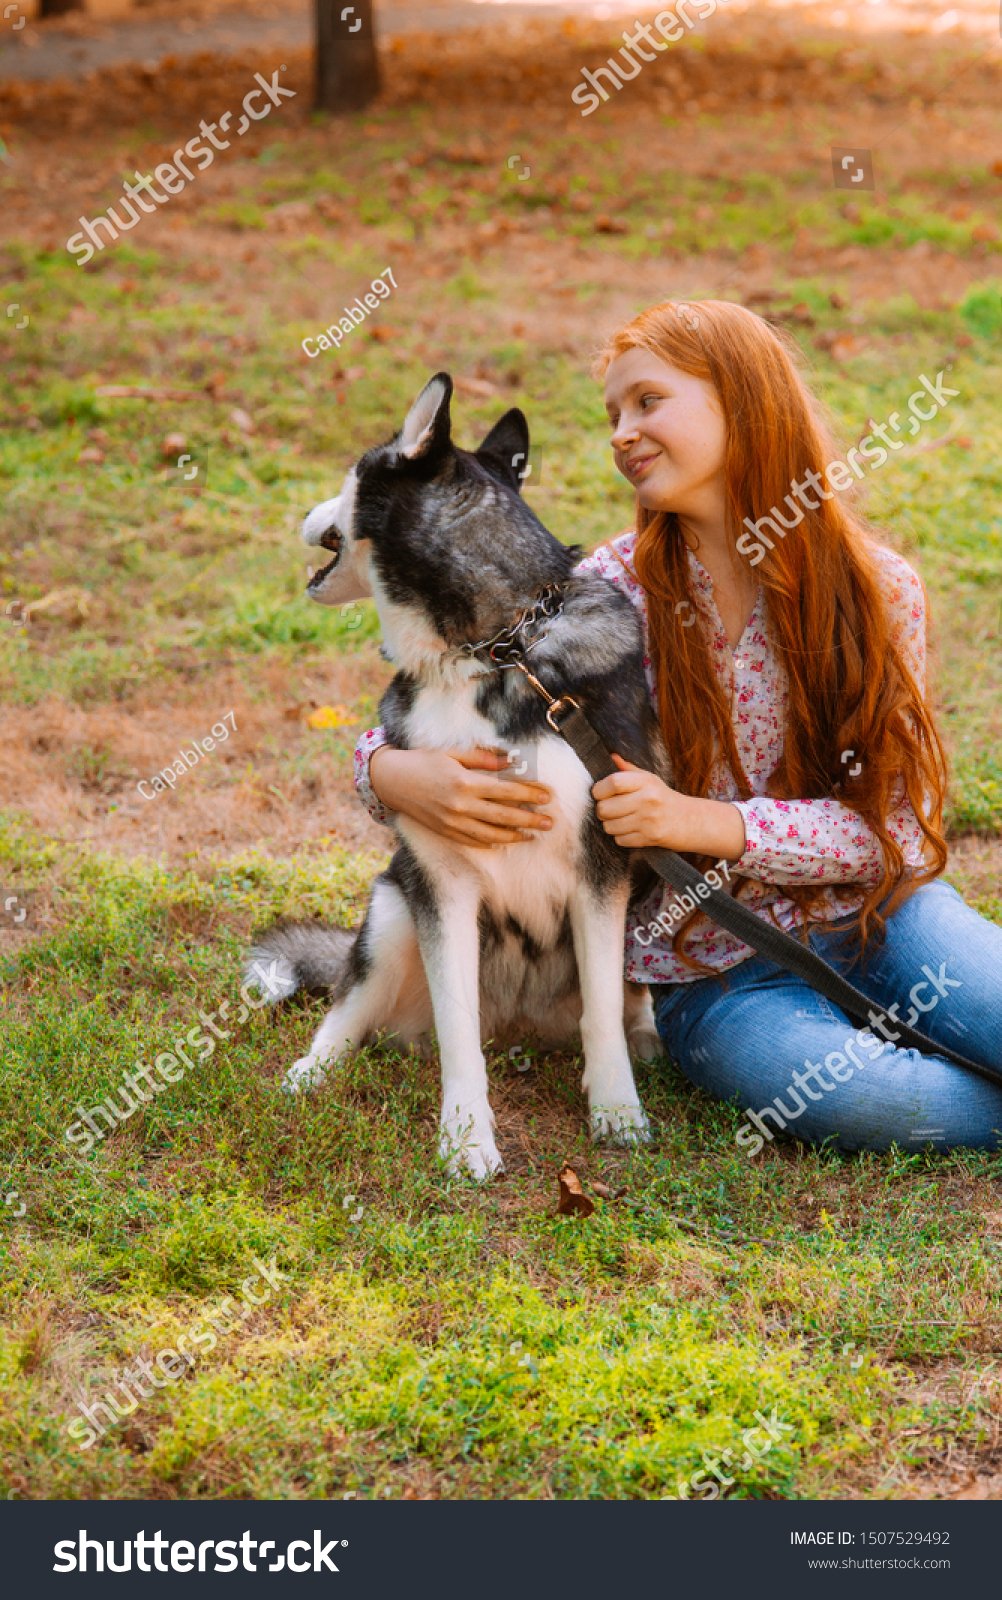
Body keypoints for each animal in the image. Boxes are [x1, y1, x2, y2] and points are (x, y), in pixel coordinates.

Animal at [249, 371, 665, 1177]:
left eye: (348, 474)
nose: (301, 511)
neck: (493, 649)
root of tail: (522, 1034)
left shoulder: (602, 869)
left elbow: (602, 1010)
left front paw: (617, 1114)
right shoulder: (441, 883)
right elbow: (456, 1034)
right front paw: (468, 1138)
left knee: (622, 1006)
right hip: (393, 909)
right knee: (349, 1006)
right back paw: (307, 1076)